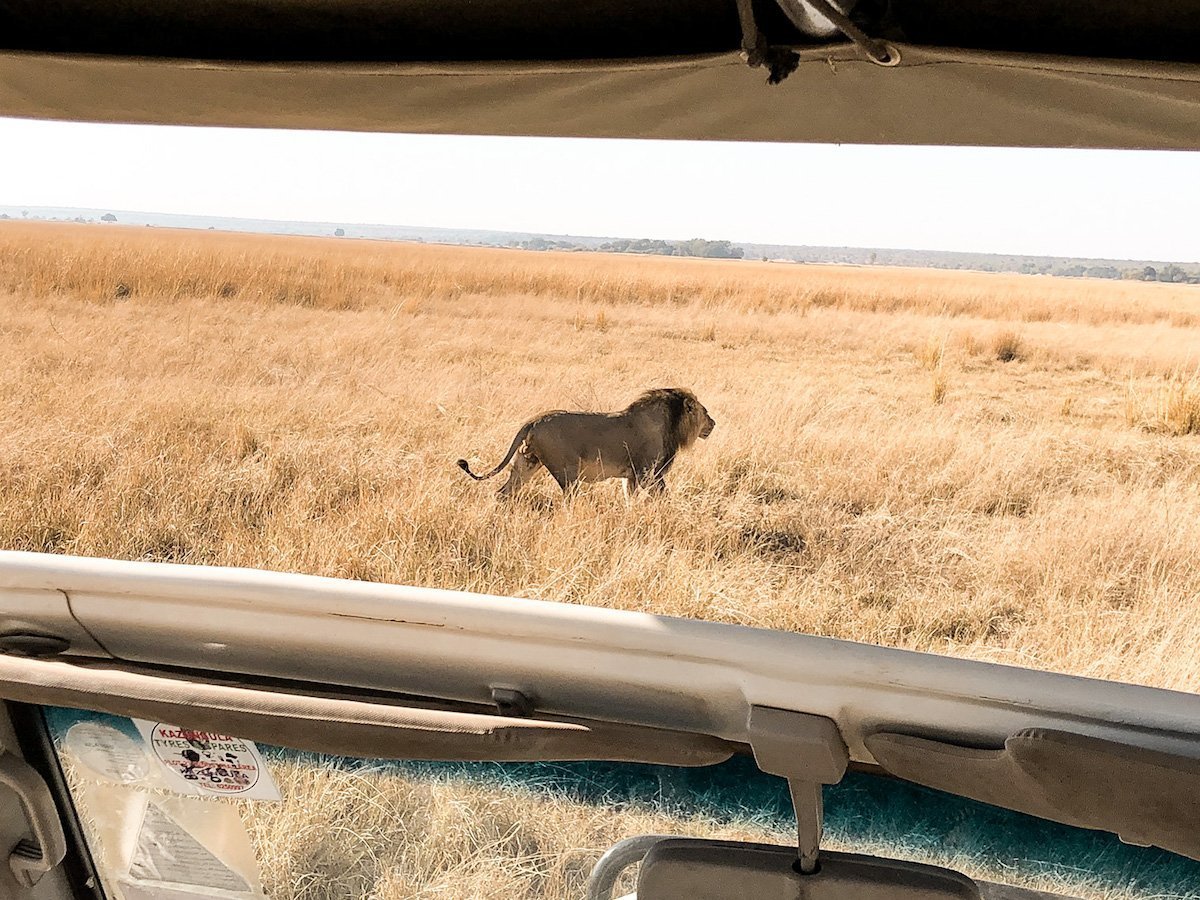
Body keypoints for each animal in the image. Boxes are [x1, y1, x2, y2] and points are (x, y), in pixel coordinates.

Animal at [457, 388, 715, 498]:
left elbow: (629, 500)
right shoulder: (647, 474)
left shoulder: (631, 477)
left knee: (503, 492)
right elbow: (662, 497)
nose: (713, 423)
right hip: (567, 472)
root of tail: (534, 420)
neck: (671, 424)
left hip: (527, 463)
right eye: (705, 412)